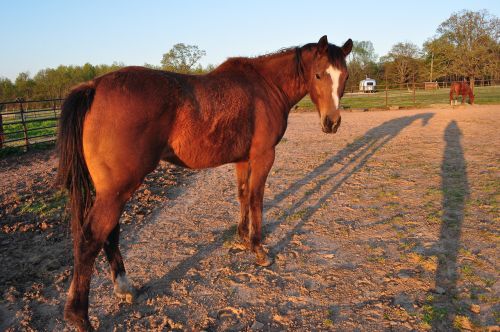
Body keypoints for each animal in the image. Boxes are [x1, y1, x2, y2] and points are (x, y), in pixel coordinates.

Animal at [57, 35, 352, 330]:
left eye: (345, 76)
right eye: (318, 74)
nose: (332, 122)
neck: (265, 86)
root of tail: (94, 86)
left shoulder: (243, 159)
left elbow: (242, 195)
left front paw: (241, 236)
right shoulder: (263, 156)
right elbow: (256, 199)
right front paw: (258, 249)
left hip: (111, 190)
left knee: (110, 233)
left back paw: (124, 287)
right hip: (118, 190)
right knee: (90, 238)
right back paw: (79, 317)